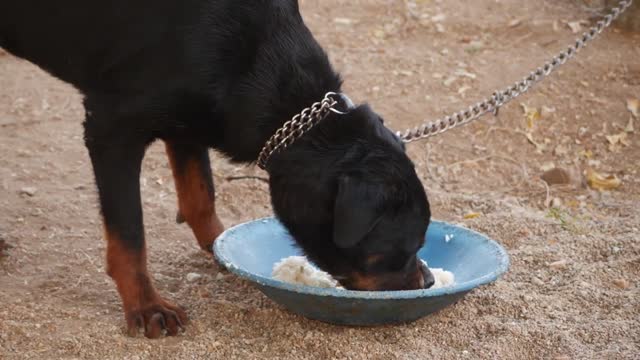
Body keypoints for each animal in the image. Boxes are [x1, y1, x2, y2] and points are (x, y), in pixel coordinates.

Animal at [1, 0, 436, 338]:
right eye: (404, 249)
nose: (428, 281)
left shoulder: (189, 118)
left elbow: (200, 194)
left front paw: (220, 246)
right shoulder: (111, 128)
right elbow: (129, 234)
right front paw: (146, 305)